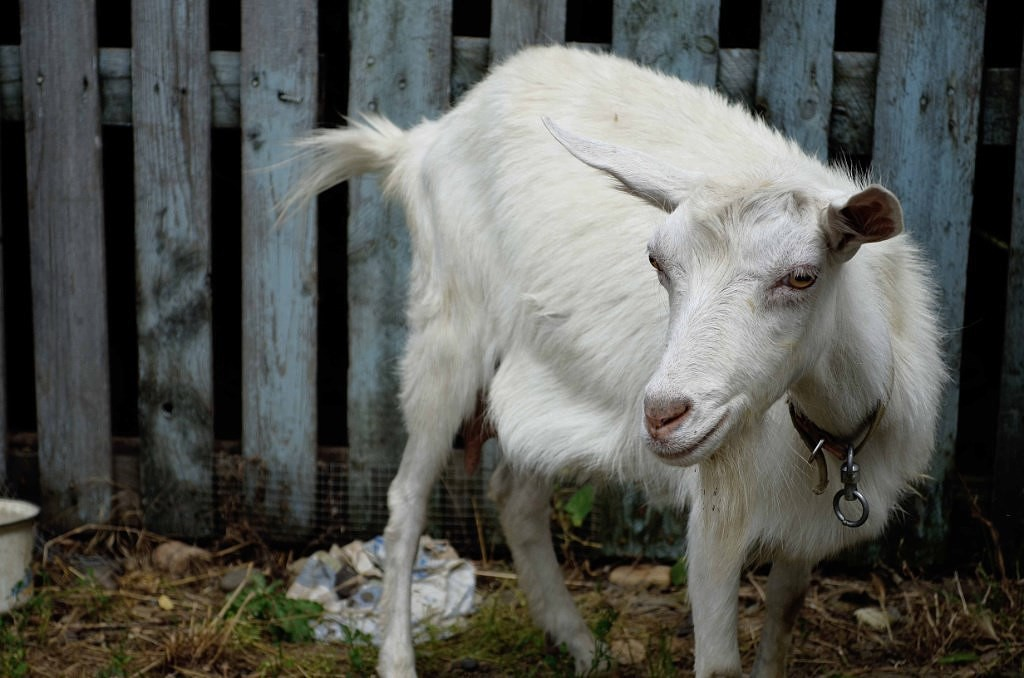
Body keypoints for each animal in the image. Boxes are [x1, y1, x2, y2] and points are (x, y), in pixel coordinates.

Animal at [288, 45, 942, 675]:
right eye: (657, 262)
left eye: (802, 276)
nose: (662, 415)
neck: (836, 424)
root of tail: (426, 138)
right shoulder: (717, 516)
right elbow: (719, 663)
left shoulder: (804, 521)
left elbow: (784, 611)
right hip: (447, 330)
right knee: (408, 496)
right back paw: (398, 658)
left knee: (514, 495)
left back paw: (582, 647)